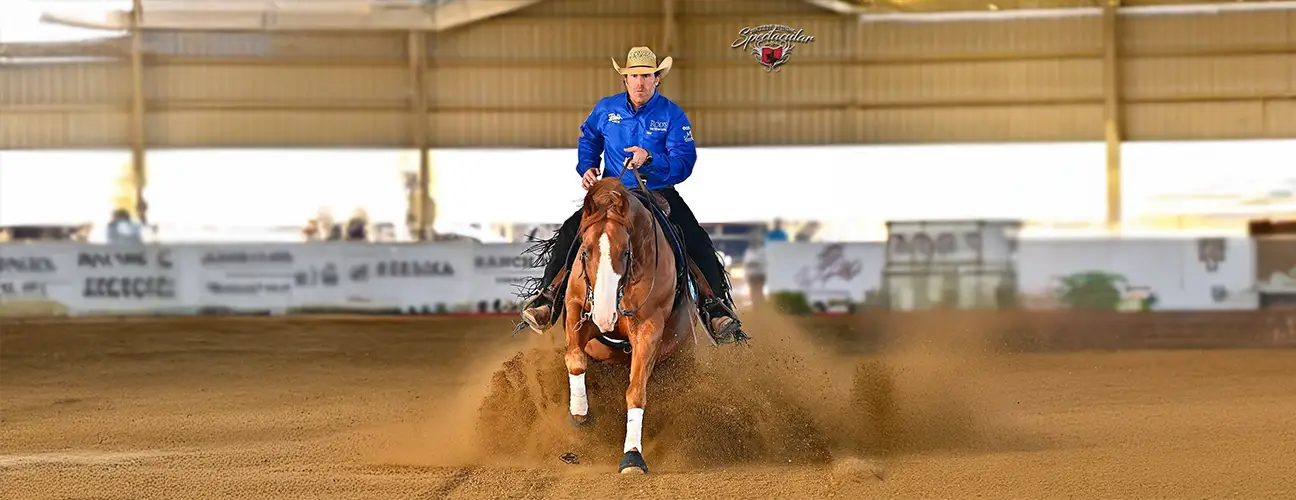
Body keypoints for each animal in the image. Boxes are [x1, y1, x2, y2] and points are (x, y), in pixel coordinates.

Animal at [560, 173, 706, 474]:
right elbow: (575, 360)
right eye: (585, 251)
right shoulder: (578, 310)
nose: (605, 316)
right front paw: (579, 414)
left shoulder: (648, 328)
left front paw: (633, 455)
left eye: (626, 252)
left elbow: (636, 391)